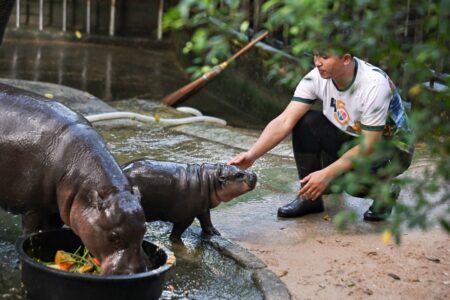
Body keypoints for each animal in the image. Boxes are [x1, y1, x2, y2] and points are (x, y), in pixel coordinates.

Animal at [0, 83, 148, 276]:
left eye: (145, 229)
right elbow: (30, 232)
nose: (134, 272)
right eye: (114, 237)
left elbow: (50, 230)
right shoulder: (33, 207)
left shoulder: (55, 208)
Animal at [121, 159, 258, 241]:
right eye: (238, 175)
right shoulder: (186, 216)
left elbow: (206, 221)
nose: (254, 174)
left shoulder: (203, 208)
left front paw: (214, 233)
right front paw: (175, 241)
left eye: (241, 168)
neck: (210, 180)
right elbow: (178, 231)